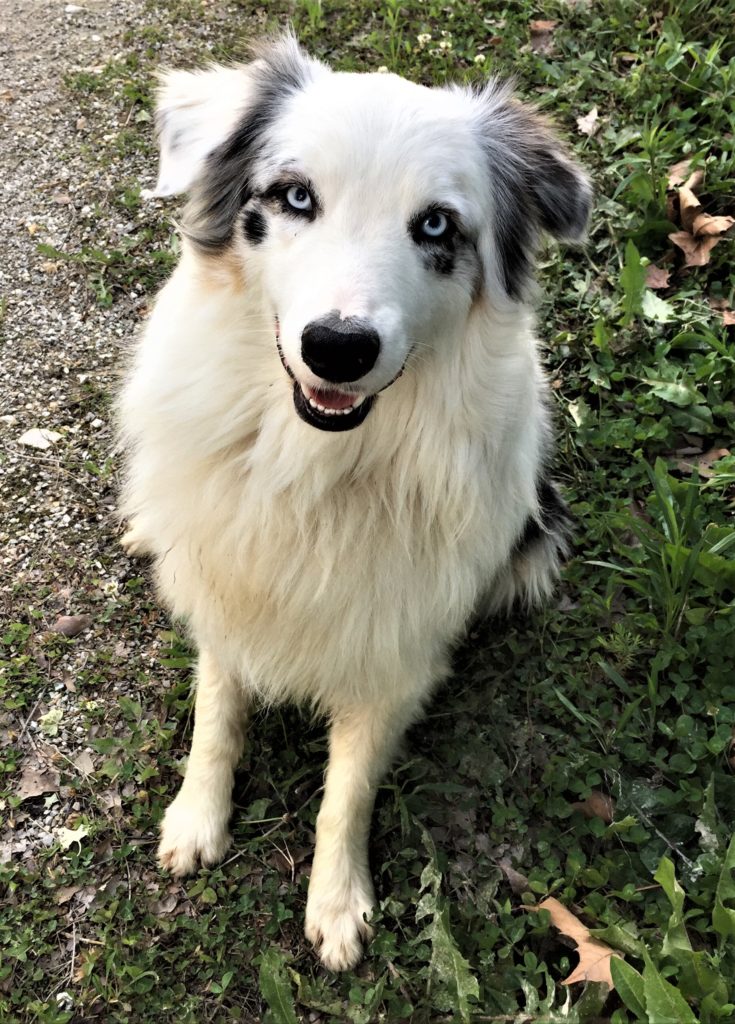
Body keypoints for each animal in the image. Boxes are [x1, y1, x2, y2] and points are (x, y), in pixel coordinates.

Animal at [120, 36, 593, 970]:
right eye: (295, 196)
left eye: (437, 226)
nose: (337, 347)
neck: (313, 464)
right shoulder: (226, 578)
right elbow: (215, 711)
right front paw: (197, 817)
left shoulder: (396, 647)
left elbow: (349, 787)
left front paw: (338, 903)